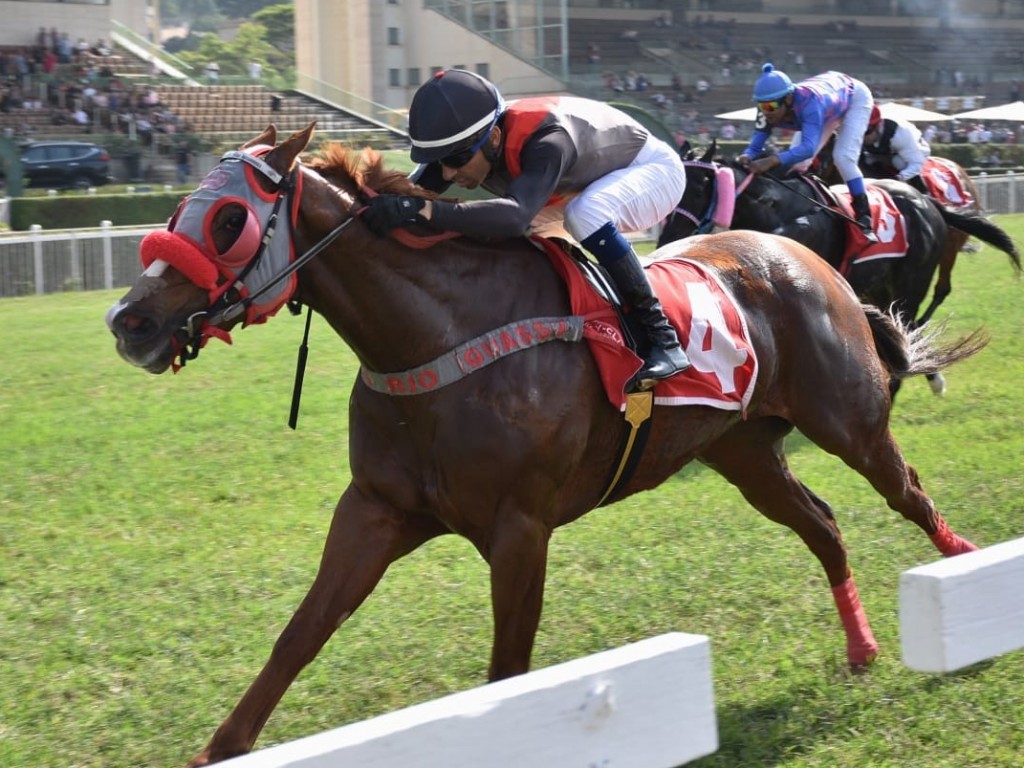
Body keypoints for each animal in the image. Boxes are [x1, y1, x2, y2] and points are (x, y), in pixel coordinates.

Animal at [108, 123, 987, 765]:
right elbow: (299, 635)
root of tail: (805, 258)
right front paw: (220, 748)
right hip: (742, 452)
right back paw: (864, 646)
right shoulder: (376, 511)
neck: (436, 338)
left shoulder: (519, 528)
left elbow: (507, 669)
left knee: (907, 491)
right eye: (184, 208)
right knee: (824, 525)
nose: (129, 321)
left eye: (229, 219)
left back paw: (964, 576)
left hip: (848, 421)